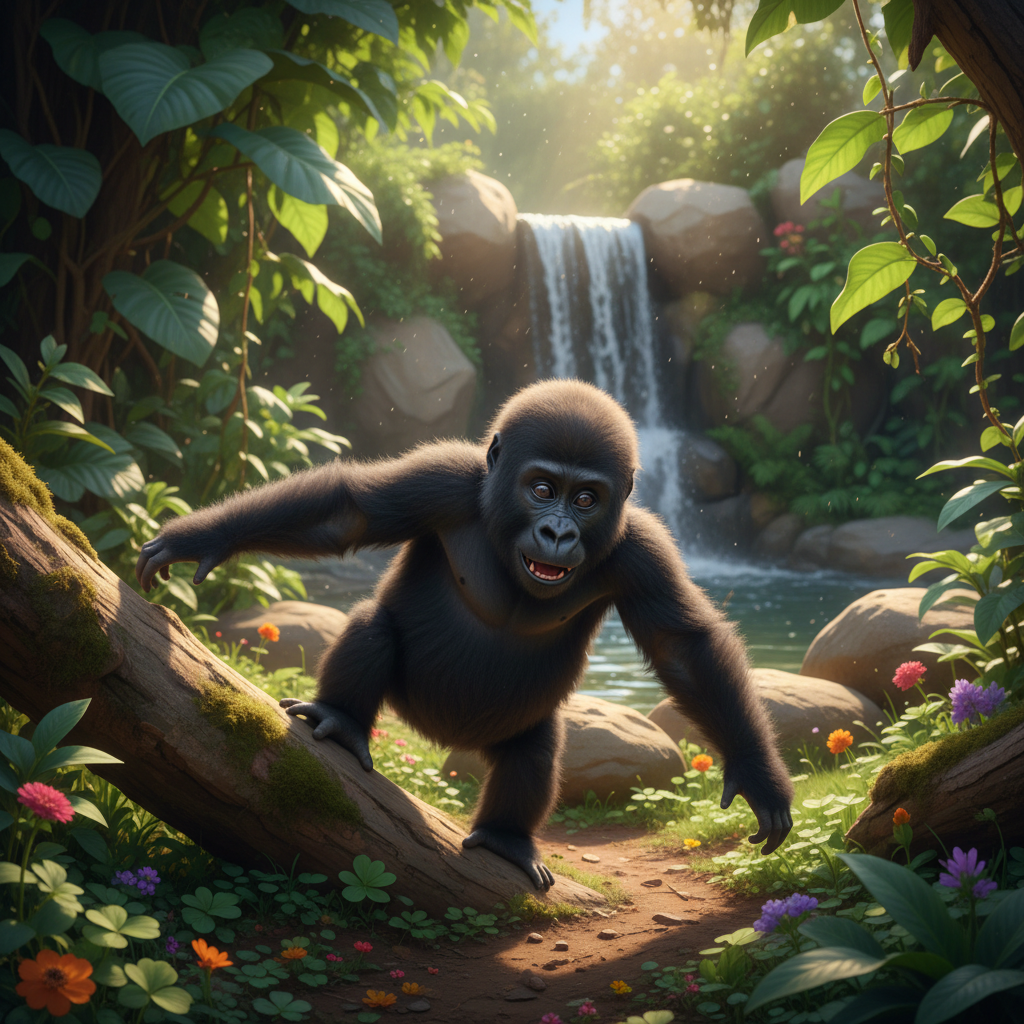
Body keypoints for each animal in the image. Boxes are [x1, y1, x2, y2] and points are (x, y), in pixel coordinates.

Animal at [137, 379, 793, 889]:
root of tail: (444, 739)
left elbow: (681, 648)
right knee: (373, 627)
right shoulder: (445, 478)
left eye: (587, 499)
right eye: (542, 489)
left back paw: (505, 838)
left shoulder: (641, 549)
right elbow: (347, 514)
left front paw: (757, 774)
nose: (558, 533)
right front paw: (204, 536)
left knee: (535, 746)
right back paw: (342, 721)